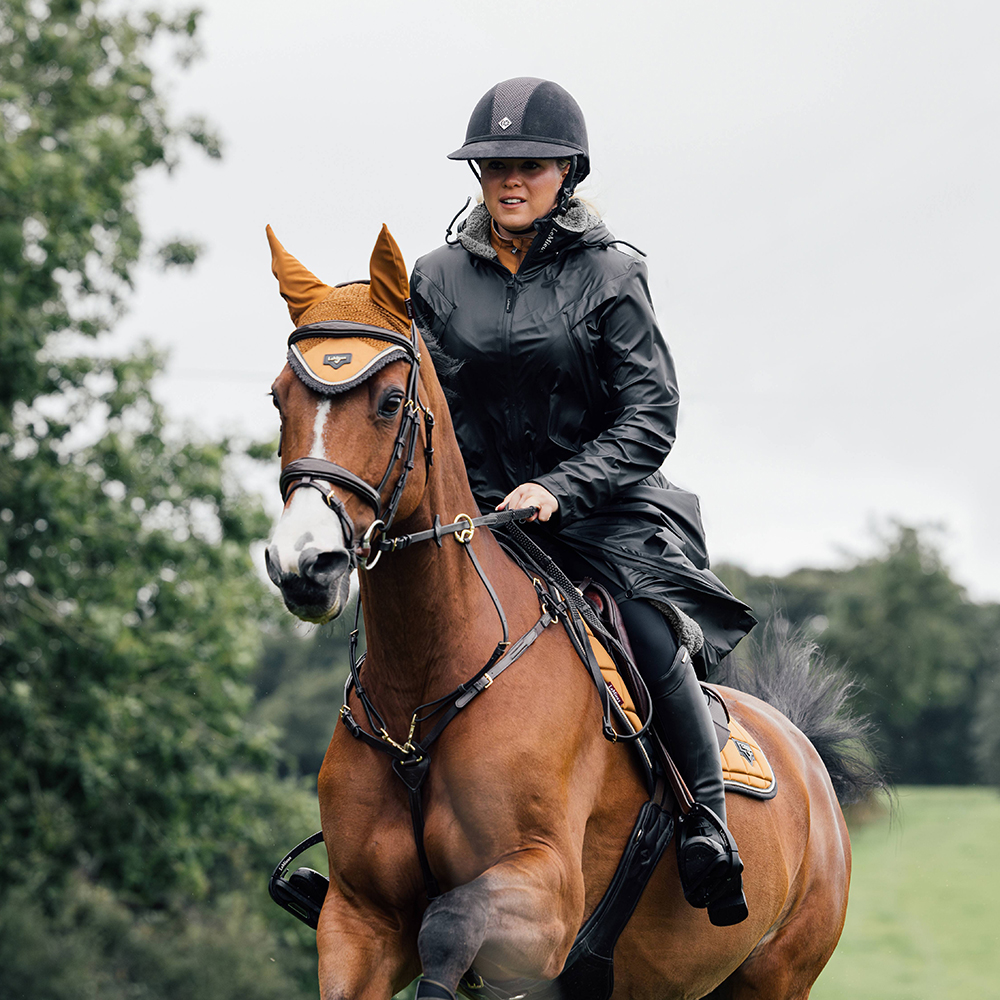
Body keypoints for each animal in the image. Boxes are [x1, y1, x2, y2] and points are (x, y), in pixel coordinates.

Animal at [264, 225, 876, 1000]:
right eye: (279, 399)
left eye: (388, 400)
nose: (302, 564)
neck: (425, 693)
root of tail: (805, 753)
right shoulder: (358, 919)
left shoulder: (546, 906)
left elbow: (449, 922)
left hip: (776, 976)